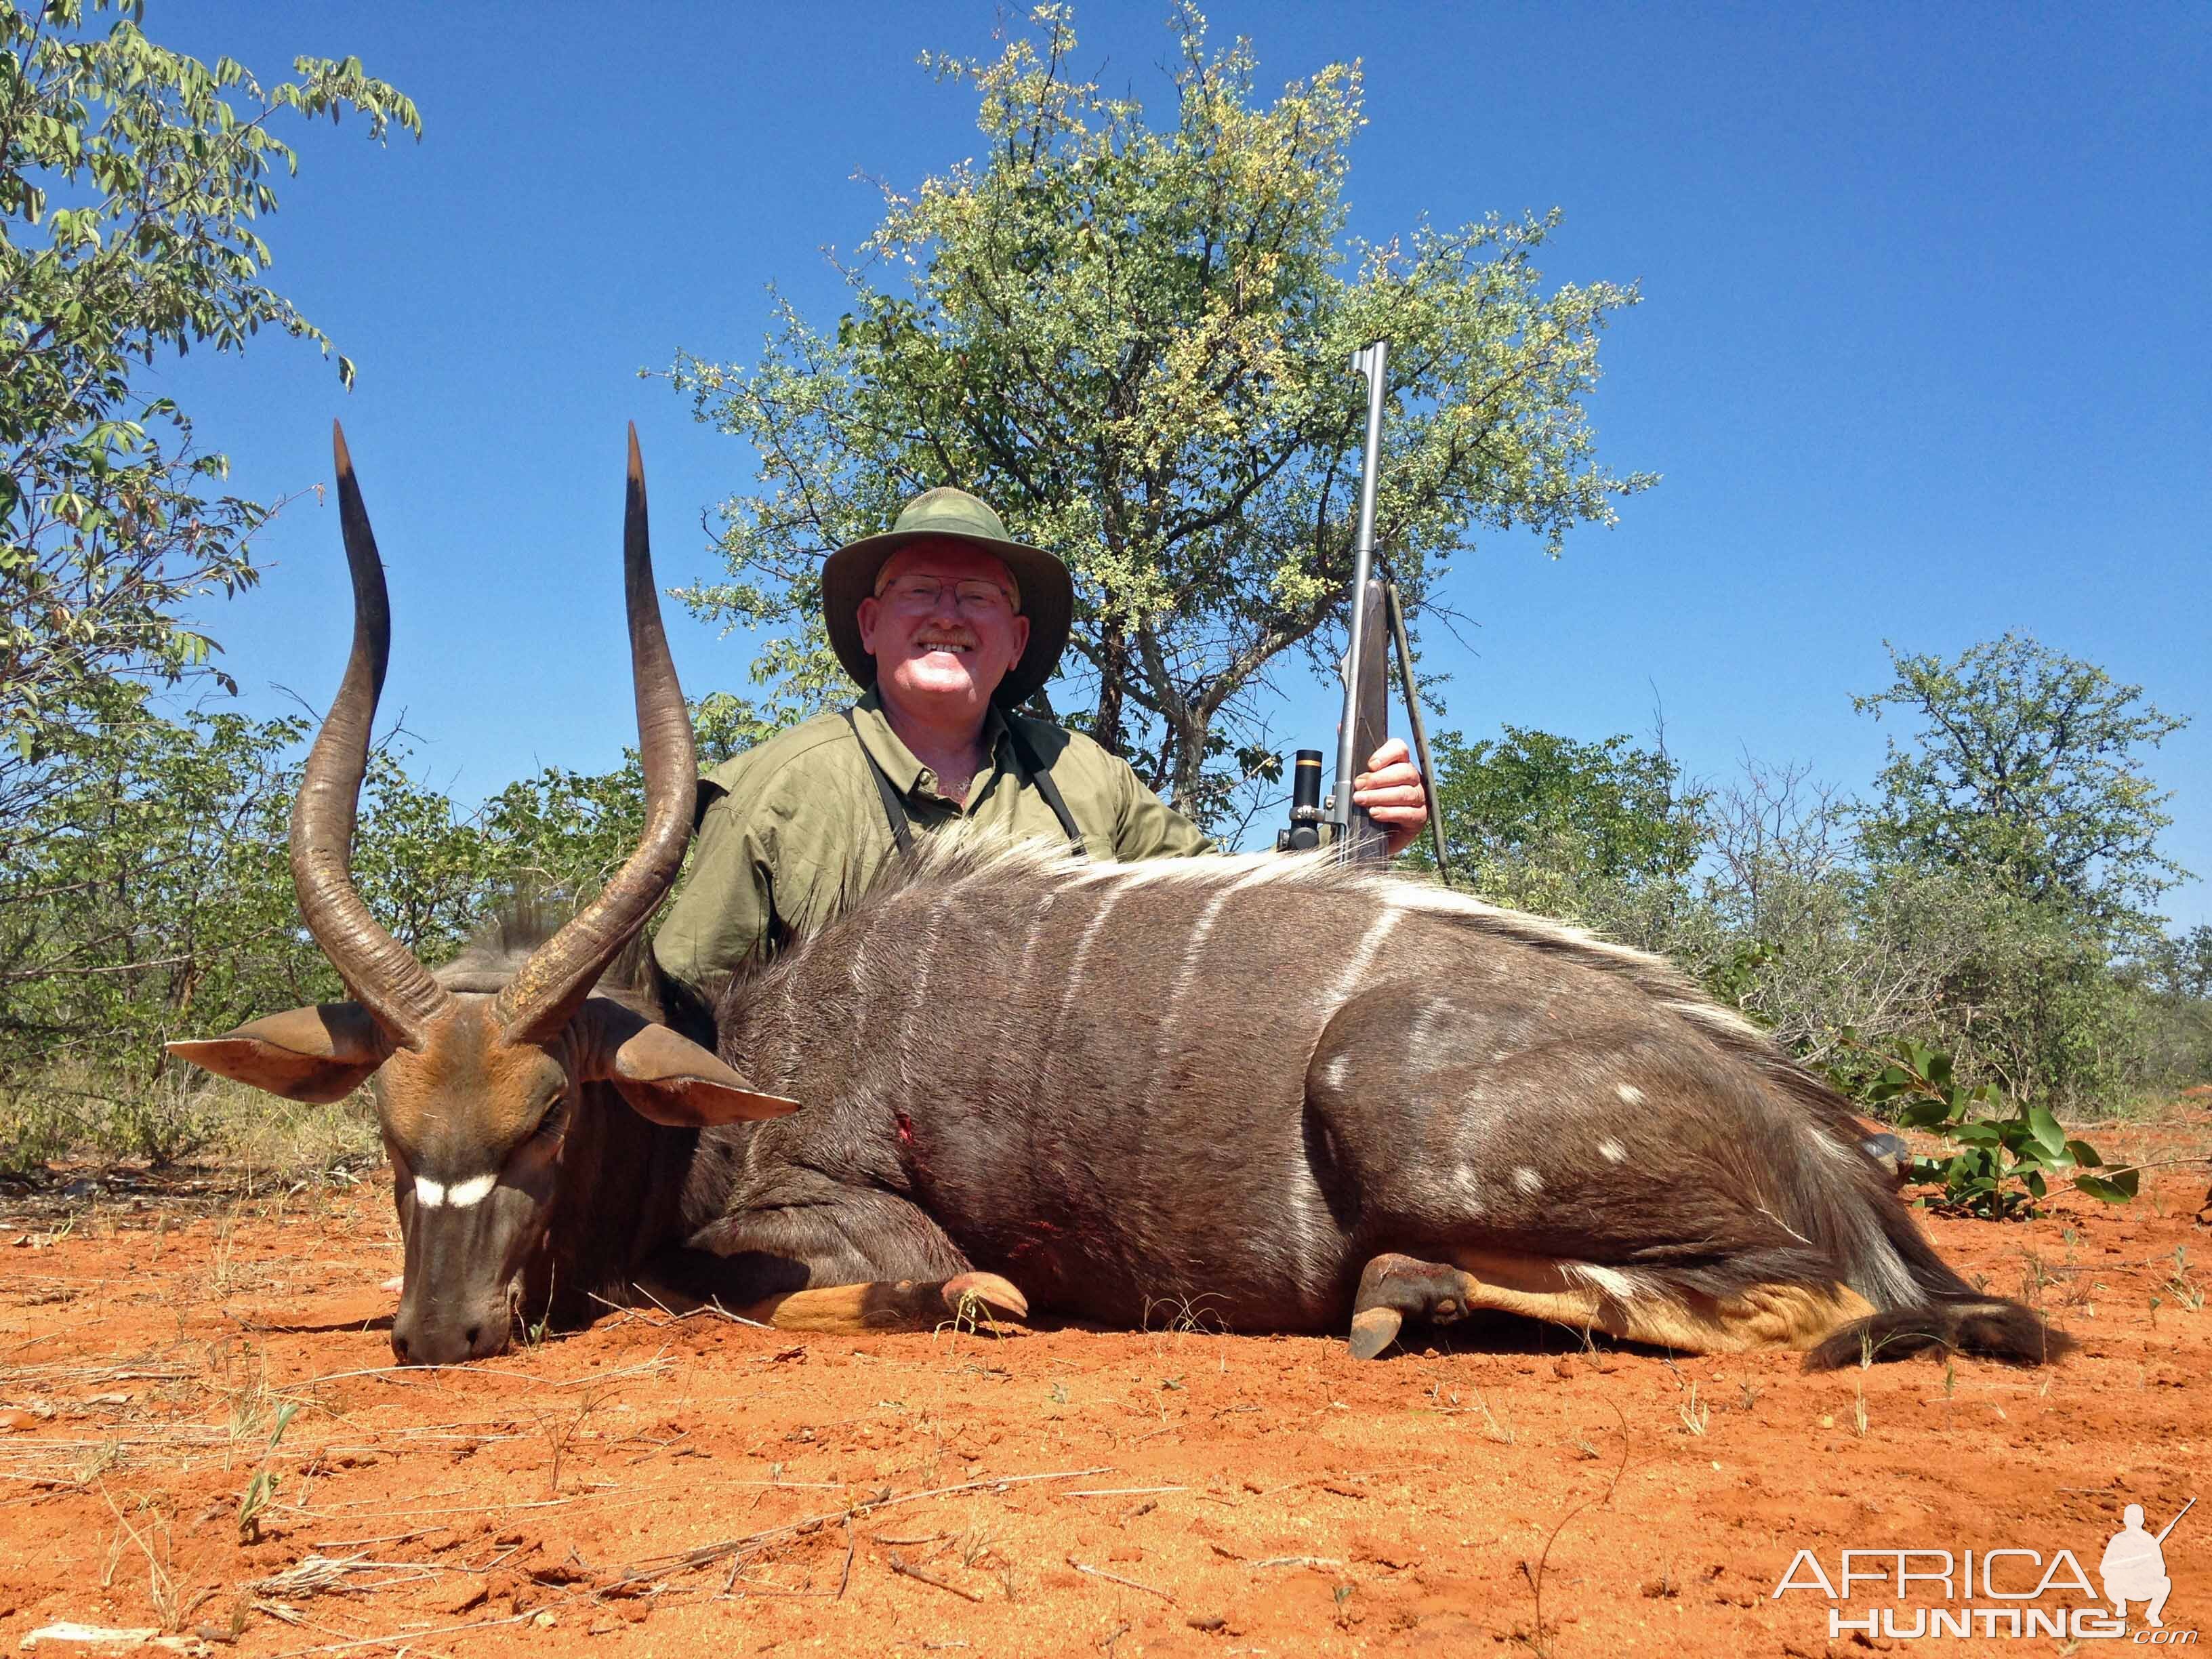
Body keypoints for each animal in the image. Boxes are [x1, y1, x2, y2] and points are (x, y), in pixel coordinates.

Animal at [172, 431, 2070, 1380]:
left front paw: (970, 1304)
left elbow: (890, 1287)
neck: (748, 1042)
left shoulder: (841, 1215)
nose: (439, 1331)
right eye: (382, 1130)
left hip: (1399, 1096)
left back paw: (1407, 1297)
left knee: (1808, 1304)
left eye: (552, 1114)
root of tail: (1829, 1152)